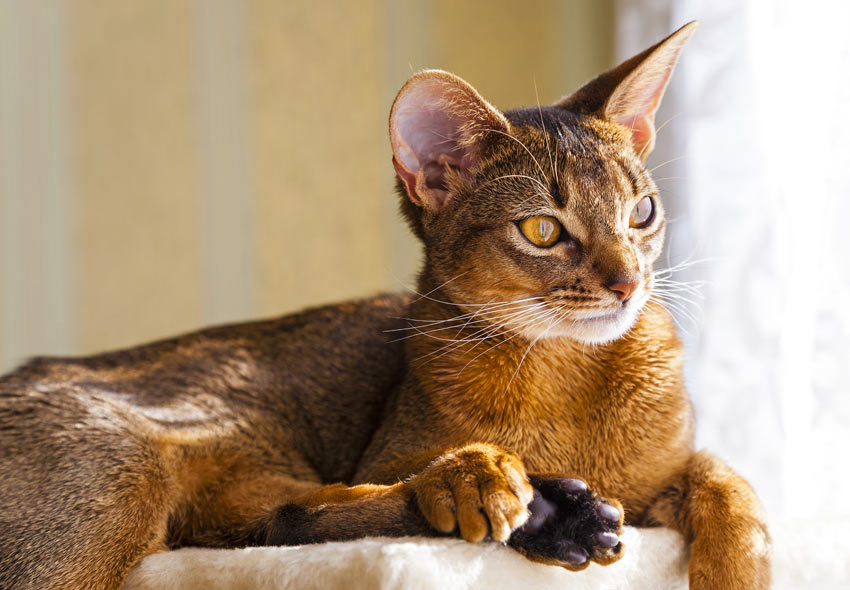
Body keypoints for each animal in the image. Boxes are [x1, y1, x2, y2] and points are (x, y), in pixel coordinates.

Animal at [0, 20, 768, 588]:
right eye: (543, 231)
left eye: (642, 213)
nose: (628, 284)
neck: (574, 382)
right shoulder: (383, 453)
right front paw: (479, 476)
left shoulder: (669, 477)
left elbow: (731, 485)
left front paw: (737, 568)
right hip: (113, 489)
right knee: (285, 523)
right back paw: (512, 496)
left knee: (281, 519)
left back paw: (549, 510)